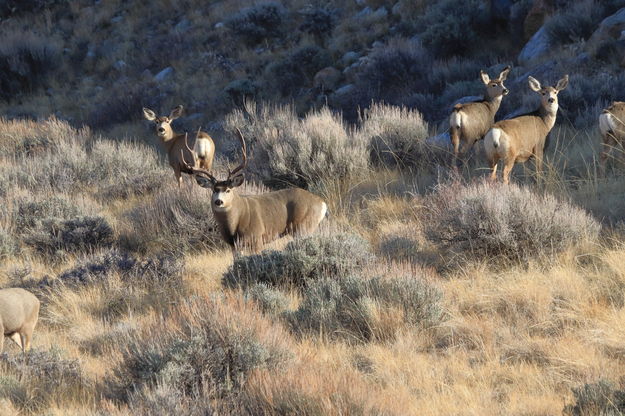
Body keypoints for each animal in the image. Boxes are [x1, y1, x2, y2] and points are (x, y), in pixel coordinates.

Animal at [180, 128, 326, 252]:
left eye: (228, 190)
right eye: (214, 190)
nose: (218, 201)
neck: (234, 226)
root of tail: (322, 203)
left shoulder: (257, 237)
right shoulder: (234, 246)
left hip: (304, 226)